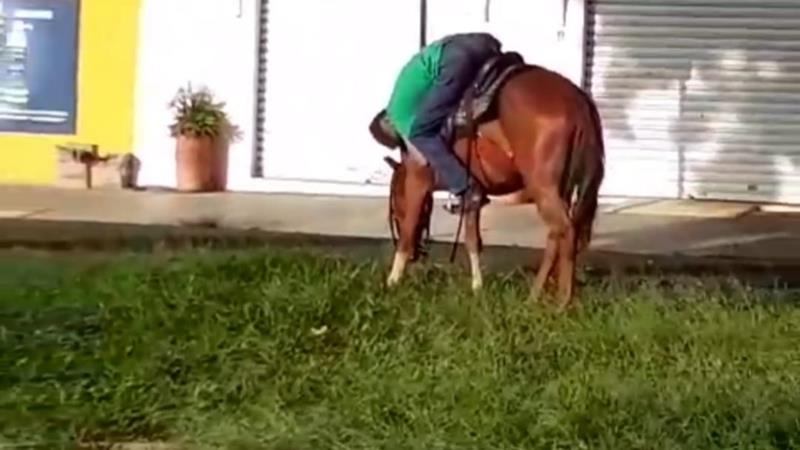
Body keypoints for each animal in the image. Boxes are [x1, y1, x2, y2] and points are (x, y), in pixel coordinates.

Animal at [372, 59, 604, 308]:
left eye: (395, 207)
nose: (418, 255)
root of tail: (577, 100)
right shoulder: (472, 196)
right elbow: (472, 240)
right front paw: (477, 287)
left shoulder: (418, 182)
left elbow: (407, 234)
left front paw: (392, 282)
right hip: (562, 188)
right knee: (556, 236)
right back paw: (534, 296)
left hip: (544, 188)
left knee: (566, 231)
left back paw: (561, 302)